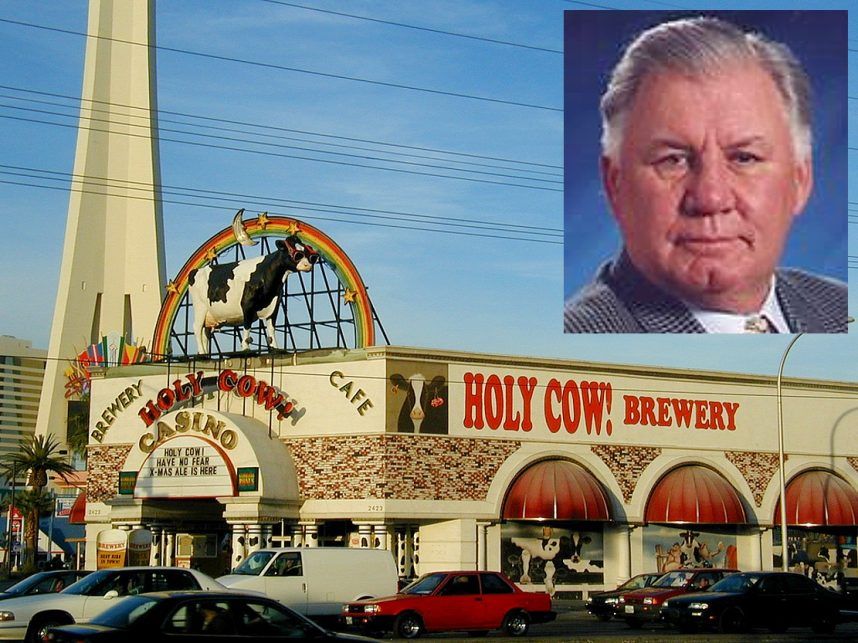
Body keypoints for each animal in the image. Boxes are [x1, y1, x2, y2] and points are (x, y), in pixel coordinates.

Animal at [187, 238, 318, 358]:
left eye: (309, 254)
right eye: (297, 254)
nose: (308, 265)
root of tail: (194, 271)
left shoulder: (274, 306)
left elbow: (271, 329)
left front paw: (275, 348)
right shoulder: (247, 304)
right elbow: (247, 326)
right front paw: (246, 348)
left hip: (210, 316)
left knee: (206, 332)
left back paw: (205, 354)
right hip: (200, 307)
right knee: (197, 328)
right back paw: (202, 353)